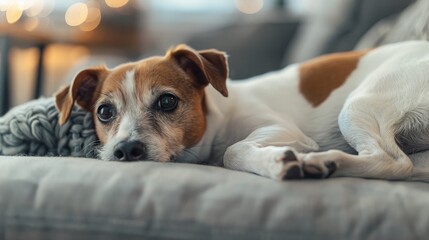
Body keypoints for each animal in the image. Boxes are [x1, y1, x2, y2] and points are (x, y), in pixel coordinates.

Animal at [54, 40, 429, 180]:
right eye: (104, 112)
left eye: (167, 101)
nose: (126, 150)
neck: (217, 122)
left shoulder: (281, 130)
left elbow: (233, 151)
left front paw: (275, 162)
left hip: (358, 106)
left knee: (393, 163)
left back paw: (321, 161)